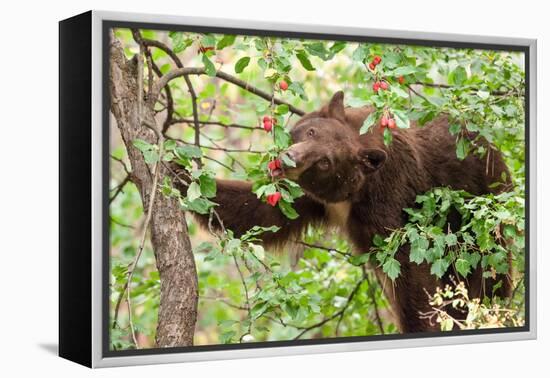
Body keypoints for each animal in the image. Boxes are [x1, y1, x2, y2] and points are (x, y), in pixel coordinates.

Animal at [180, 90, 512, 332]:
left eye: (325, 161)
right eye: (310, 131)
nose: (289, 159)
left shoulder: (388, 195)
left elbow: (408, 265)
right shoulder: (311, 197)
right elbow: (262, 214)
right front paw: (180, 173)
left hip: (481, 211)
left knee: (488, 275)